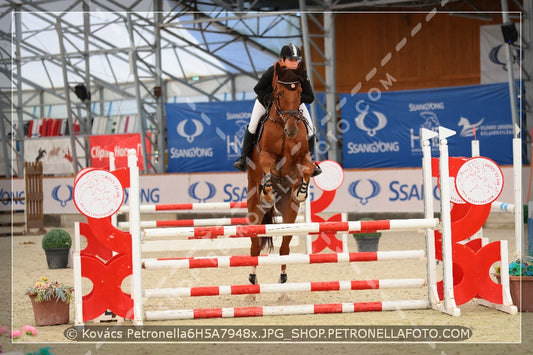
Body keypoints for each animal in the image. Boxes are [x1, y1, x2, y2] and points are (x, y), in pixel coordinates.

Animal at [246, 62, 316, 290]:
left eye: (300, 93)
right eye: (279, 93)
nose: (292, 130)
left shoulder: (303, 157)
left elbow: (307, 169)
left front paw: (301, 192)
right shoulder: (265, 155)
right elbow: (268, 165)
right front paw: (267, 192)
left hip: (290, 212)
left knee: (285, 247)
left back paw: (283, 280)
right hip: (254, 208)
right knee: (255, 246)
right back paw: (252, 280)